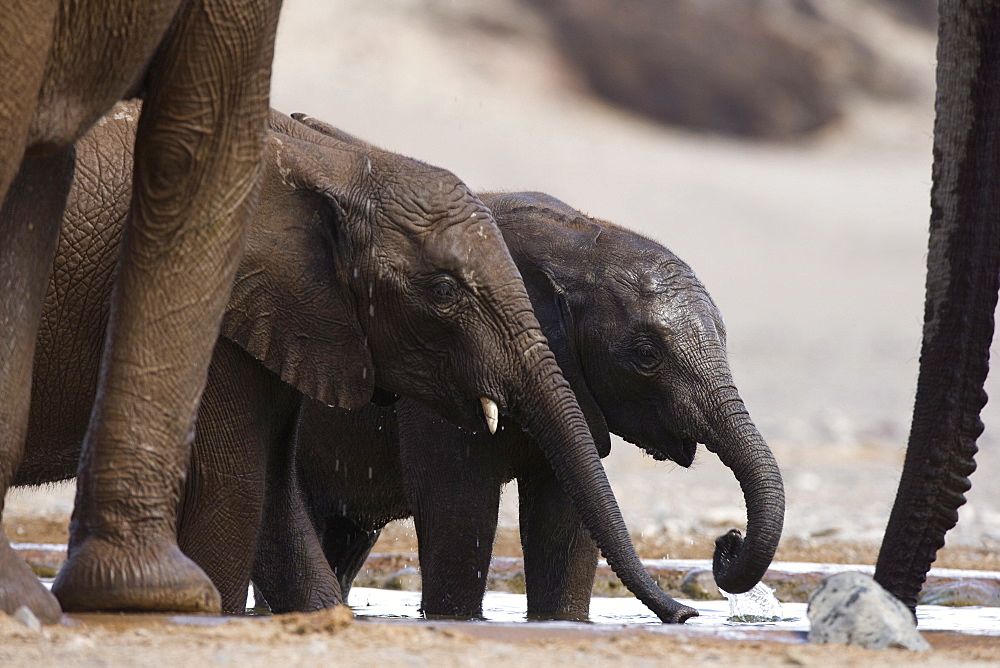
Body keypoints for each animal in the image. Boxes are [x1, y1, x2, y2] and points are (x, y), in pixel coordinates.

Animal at [254, 190, 784, 620]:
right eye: (646, 355)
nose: (727, 541)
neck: (580, 245)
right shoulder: (442, 369)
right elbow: (461, 510)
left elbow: (565, 517)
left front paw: (562, 622)